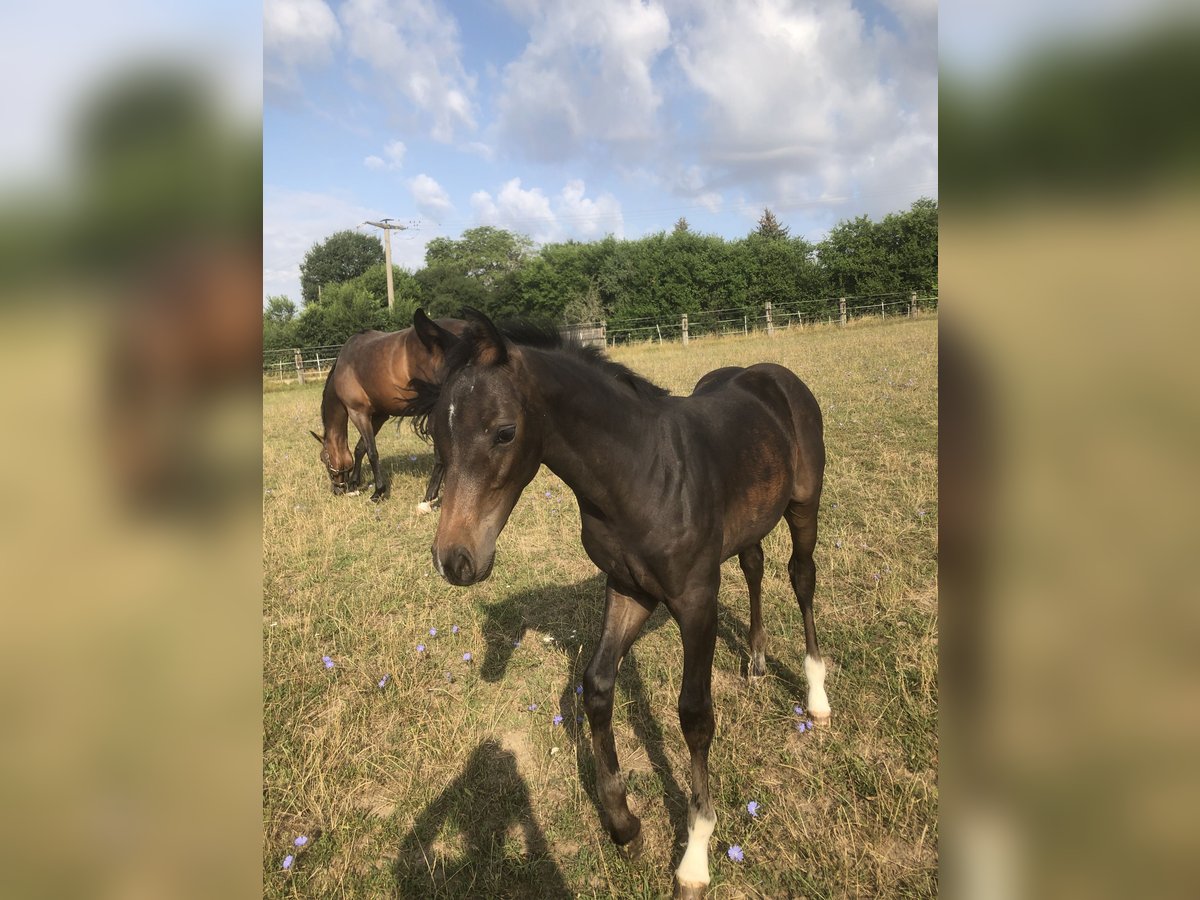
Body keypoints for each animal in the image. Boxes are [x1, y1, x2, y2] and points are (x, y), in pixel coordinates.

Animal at [312, 321, 465, 508]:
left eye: (323, 459)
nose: (337, 490)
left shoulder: (358, 413)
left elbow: (371, 452)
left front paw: (378, 492)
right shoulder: (378, 416)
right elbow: (360, 449)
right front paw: (355, 484)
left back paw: (428, 498)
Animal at [408, 309, 830, 897]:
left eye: (503, 432)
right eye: (435, 433)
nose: (454, 560)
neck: (642, 473)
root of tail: (773, 374)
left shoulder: (695, 598)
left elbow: (694, 714)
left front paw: (695, 855)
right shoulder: (629, 588)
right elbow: (597, 686)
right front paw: (625, 825)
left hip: (803, 505)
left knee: (801, 577)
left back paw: (816, 695)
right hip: (752, 519)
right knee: (754, 564)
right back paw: (756, 660)